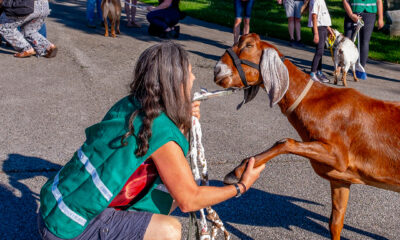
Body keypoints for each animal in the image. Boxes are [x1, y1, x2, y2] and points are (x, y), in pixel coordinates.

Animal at [214, 33, 400, 240]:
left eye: (248, 45)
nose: (217, 70)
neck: (316, 101)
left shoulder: (339, 156)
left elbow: (285, 142)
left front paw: (237, 172)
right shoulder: (340, 179)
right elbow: (335, 224)